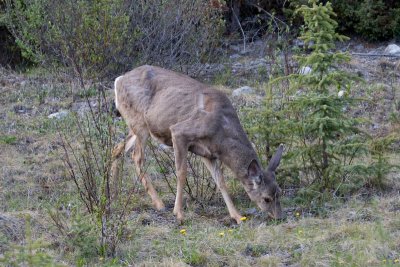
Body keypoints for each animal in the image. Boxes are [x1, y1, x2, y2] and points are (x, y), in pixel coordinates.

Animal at [111, 65, 282, 224]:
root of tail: (119, 80)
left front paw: (237, 216)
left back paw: (113, 193)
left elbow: (220, 182)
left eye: (279, 192)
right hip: (140, 123)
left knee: (117, 148)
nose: (279, 217)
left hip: (134, 125)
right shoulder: (180, 132)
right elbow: (181, 173)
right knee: (136, 156)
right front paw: (179, 213)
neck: (221, 130)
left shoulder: (208, 153)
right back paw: (159, 204)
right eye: (266, 198)